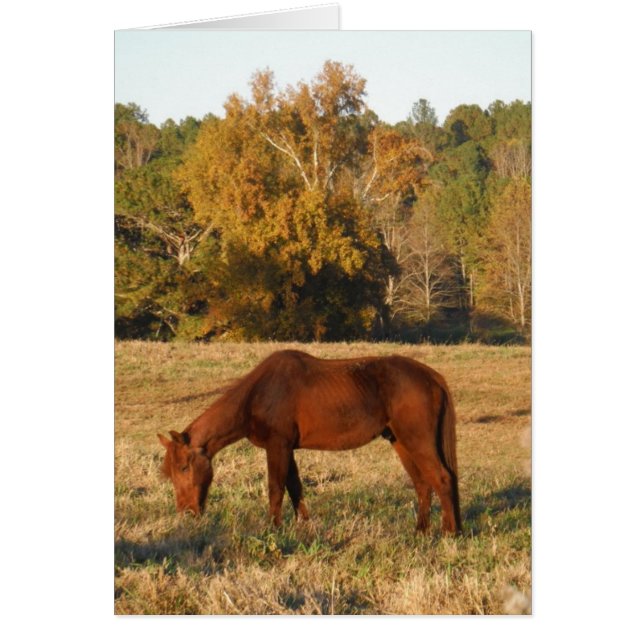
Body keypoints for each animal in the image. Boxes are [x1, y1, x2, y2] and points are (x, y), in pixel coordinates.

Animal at [158, 349, 462, 534]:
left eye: (184, 467)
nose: (187, 514)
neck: (259, 393)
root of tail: (431, 376)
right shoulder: (288, 449)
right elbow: (295, 487)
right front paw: (303, 525)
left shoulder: (278, 446)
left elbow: (276, 488)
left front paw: (273, 528)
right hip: (400, 441)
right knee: (423, 483)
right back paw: (421, 531)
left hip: (416, 440)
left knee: (442, 478)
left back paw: (450, 533)